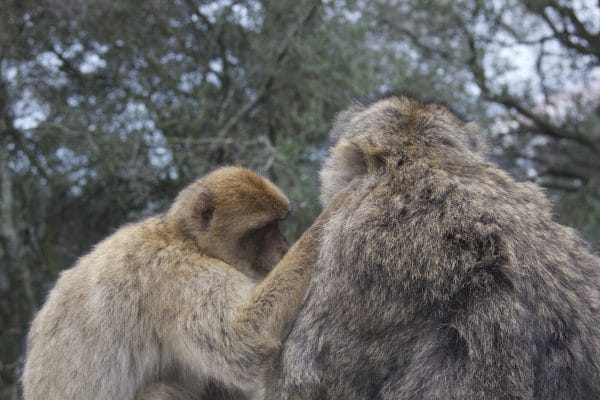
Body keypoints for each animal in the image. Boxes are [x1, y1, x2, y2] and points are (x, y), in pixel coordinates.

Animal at [21, 166, 338, 400]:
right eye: (264, 229)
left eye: (278, 225)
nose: (284, 248)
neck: (184, 238)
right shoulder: (178, 276)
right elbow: (240, 342)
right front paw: (335, 211)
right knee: (158, 392)